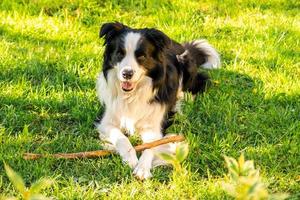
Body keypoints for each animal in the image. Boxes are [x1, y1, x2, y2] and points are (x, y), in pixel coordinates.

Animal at [96, 22, 220, 180]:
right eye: (119, 54)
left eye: (141, 56)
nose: (127, 74)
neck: (133, 95)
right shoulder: (107, 122)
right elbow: (121, 138)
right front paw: (130, 158)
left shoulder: (154, 126)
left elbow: (151, 145)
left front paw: (143, 168)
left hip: (185, 62)